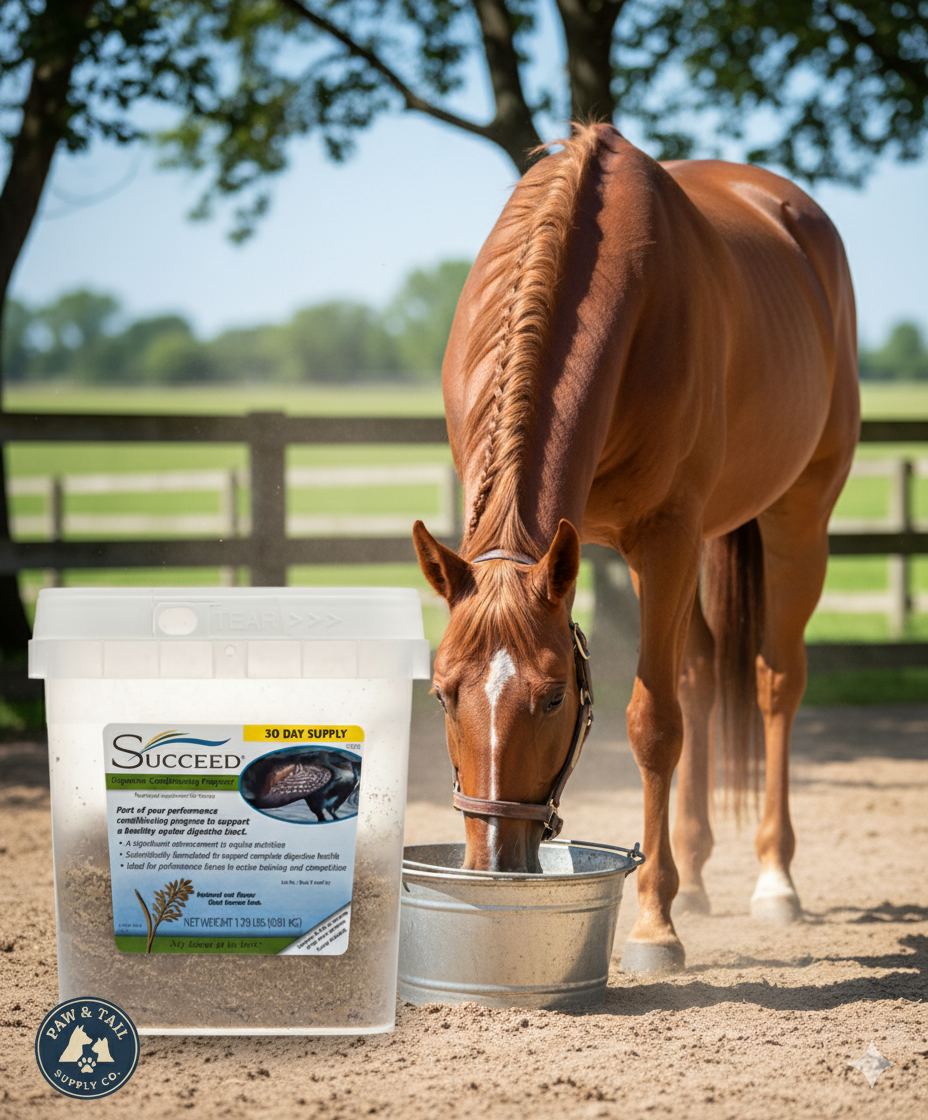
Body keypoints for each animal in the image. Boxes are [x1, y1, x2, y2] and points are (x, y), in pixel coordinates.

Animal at [412, 123, 859, 974]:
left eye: (555, 696)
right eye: (444, 694)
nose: (495, 864)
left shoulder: (667, 534)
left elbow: (655, 725)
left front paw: (655, 925)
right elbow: (678, 699)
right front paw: (671, 891)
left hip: (796, 515)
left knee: (773, 681)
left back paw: (772, 879)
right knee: (701, 672)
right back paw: (698, 871)